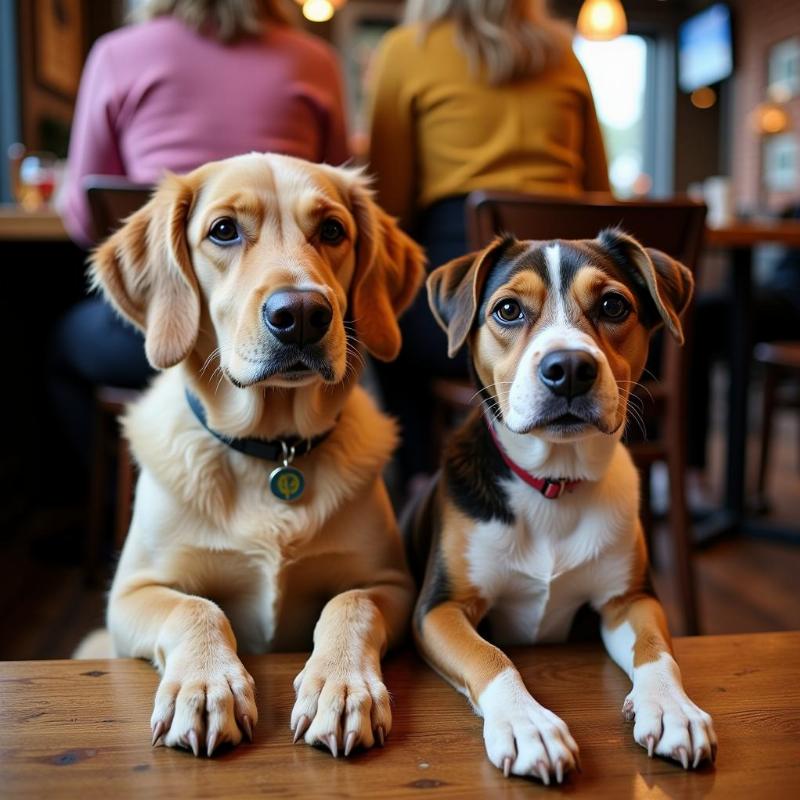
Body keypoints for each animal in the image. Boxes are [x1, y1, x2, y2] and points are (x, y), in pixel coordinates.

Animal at [84, 153, 424, 760]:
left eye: (332, 230)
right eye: (224, 230)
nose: (303, 313)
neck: (273, 451)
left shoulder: (391, 584)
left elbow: (350, 604)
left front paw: (341, 686)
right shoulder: (130, 595)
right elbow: (196, 607)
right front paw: (204, 686)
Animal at [410, 230, 716, 780]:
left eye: (614, 305)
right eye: (508, 309)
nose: (569, 367)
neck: (553, 483)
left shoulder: (629, 600)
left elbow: (658, 653)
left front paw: (672, 708)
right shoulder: (440, 607)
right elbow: (493, 658)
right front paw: (527, 724)